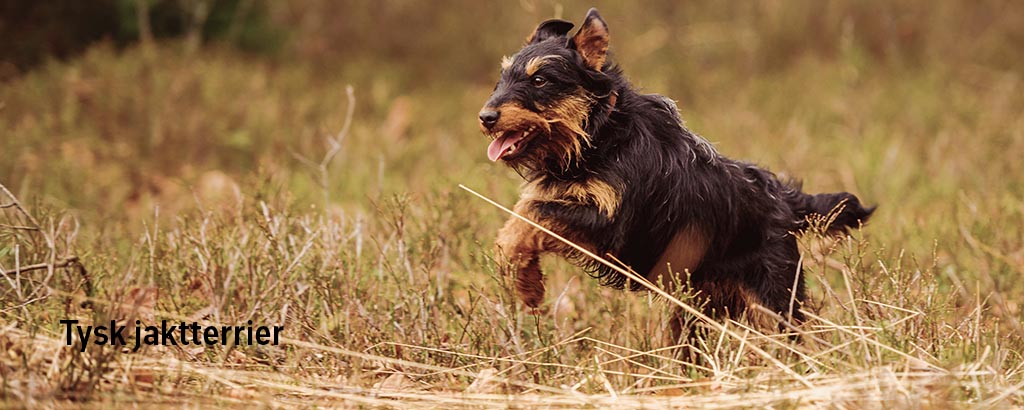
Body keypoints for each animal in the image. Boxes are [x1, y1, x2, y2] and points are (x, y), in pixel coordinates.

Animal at [477, 7, 872, 346]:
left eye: (540, 79)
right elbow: (520, 223)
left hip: (773, 302)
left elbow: (531, 215)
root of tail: (784, 199)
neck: (599, 132)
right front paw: (526, 282)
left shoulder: (609, 225)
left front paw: (524, 282)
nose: (486, 117)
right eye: (502, 79)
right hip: (695, 311)